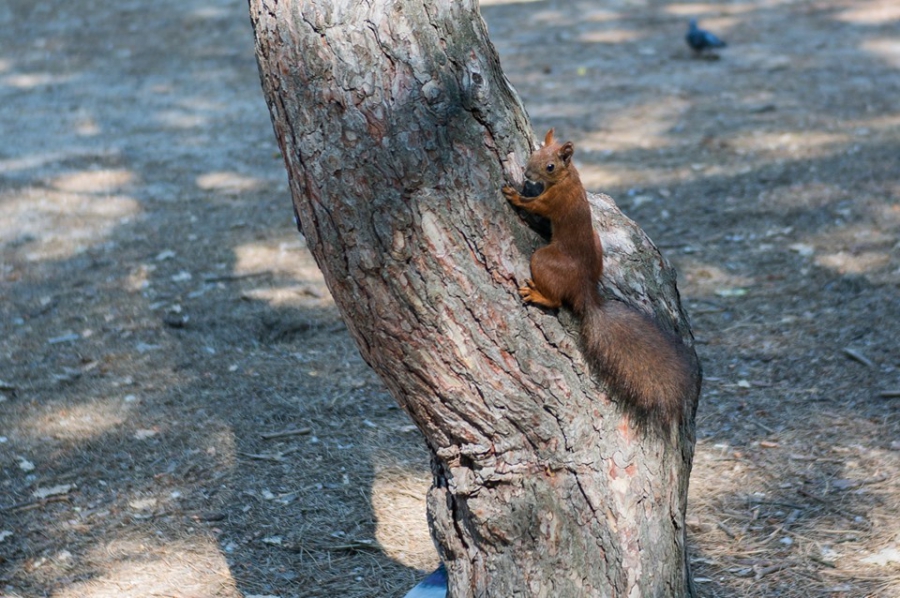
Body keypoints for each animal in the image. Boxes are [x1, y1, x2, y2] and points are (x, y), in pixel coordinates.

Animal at [502, 129, 699, 431]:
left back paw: (539, 295)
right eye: (535, 153)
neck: (568, 178)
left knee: (557, 300)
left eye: (550, 166)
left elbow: (534, 205)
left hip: (543, 260)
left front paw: (514, 192)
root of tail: (586, 292)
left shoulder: (552, 201)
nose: (527, 172)